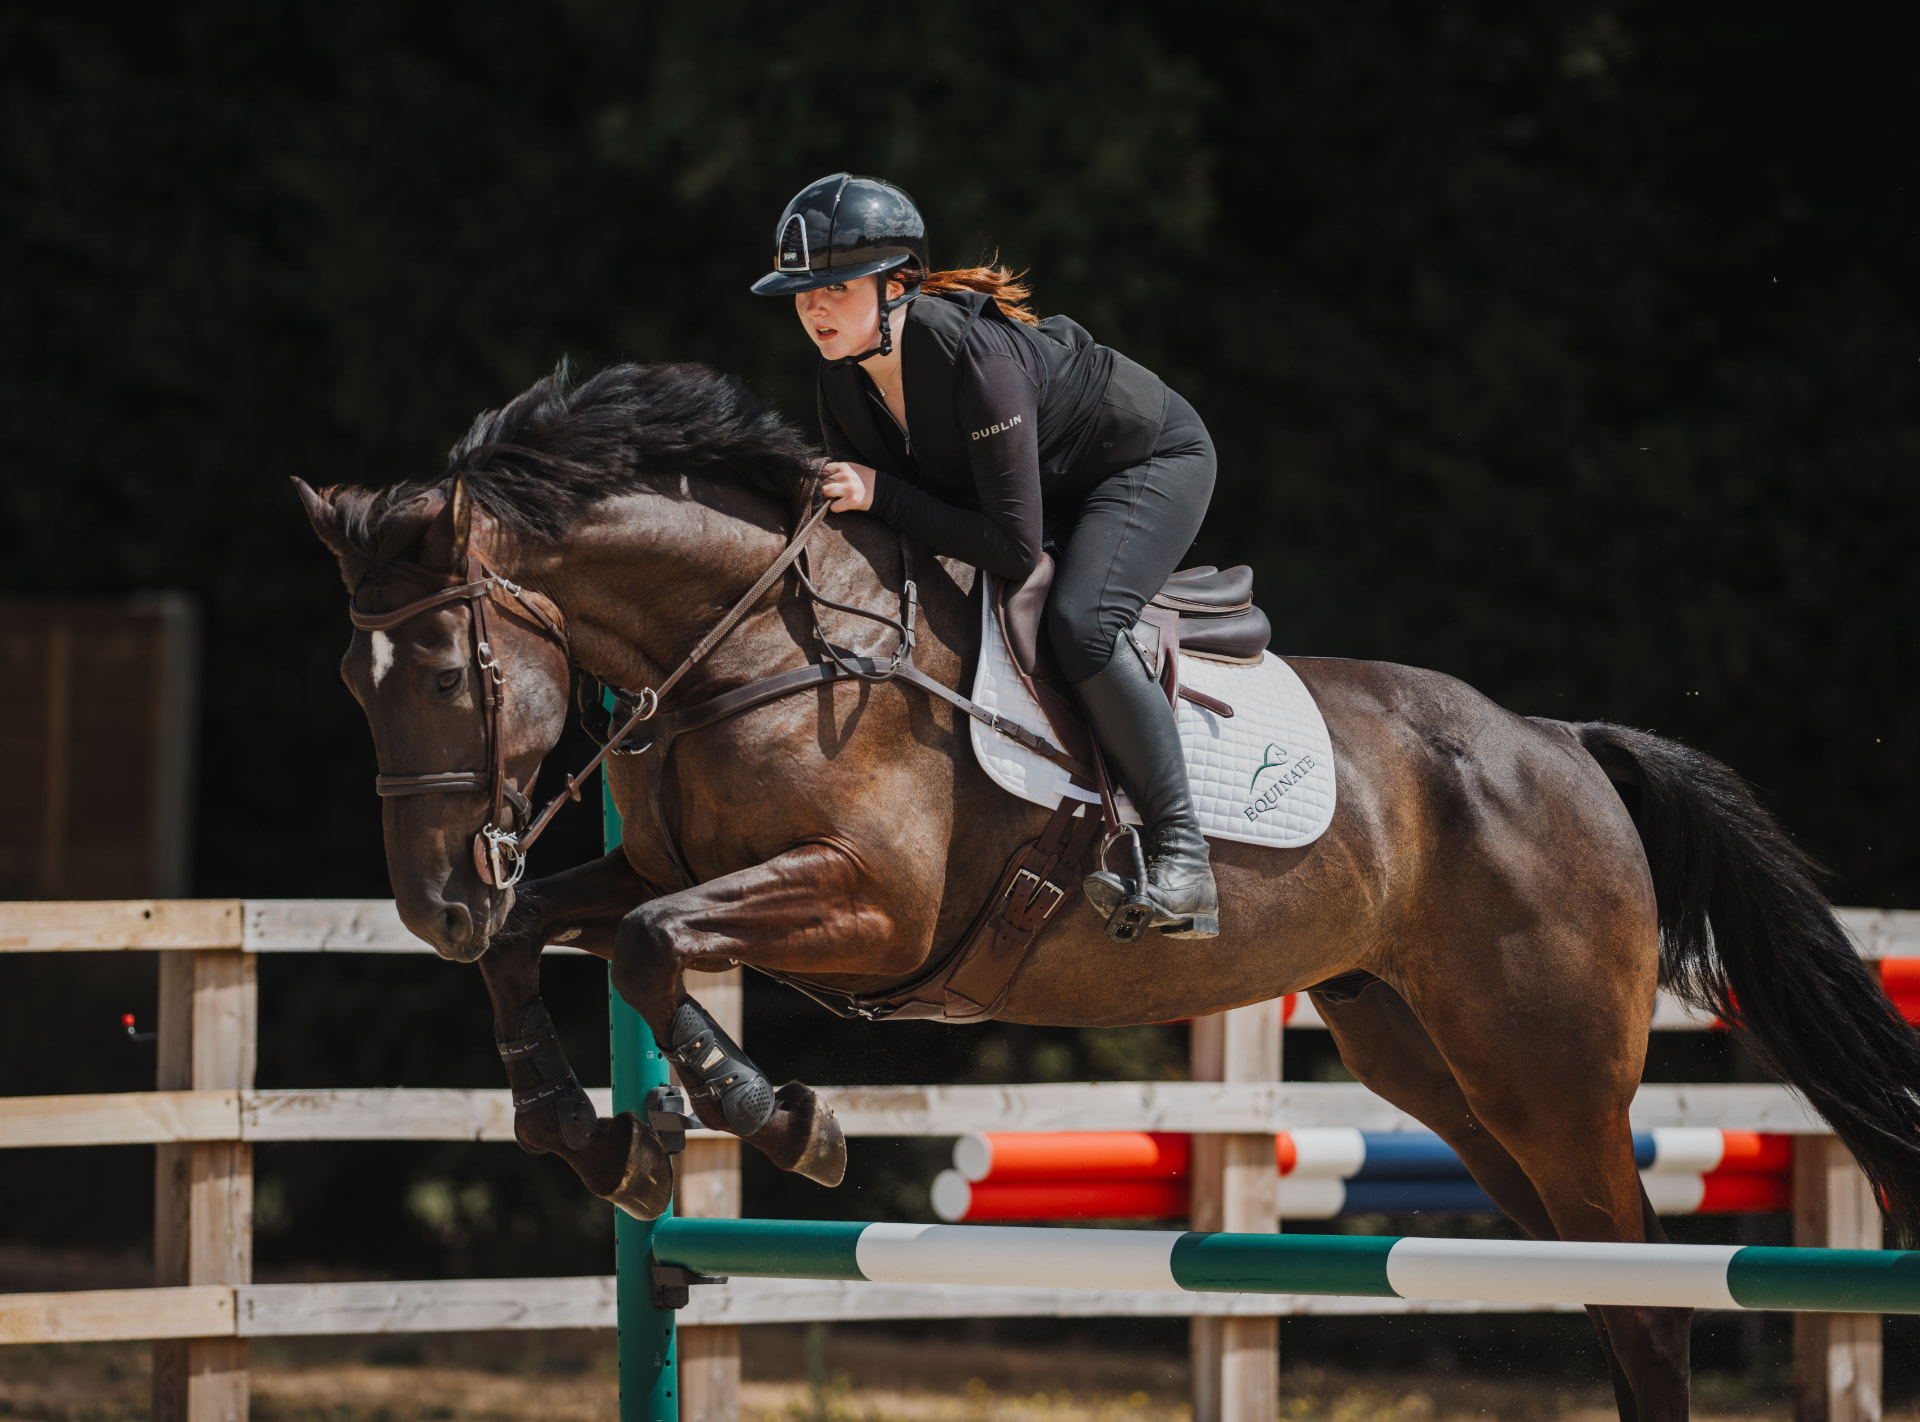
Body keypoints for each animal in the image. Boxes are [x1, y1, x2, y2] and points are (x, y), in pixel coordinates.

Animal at [297, 360, 1920, 1422]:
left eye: (444, 675)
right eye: (351, 685)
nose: (431, 902)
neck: (762, 646)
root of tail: (1564, 744)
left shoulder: (863, 907)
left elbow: (643, 943)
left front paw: (779, 1116)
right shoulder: (659, 863)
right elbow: (543, 942)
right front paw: (588, 1134)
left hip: (1553, 1069)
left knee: (1650, 1294)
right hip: (1438, 1069)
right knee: (1602, 1285)